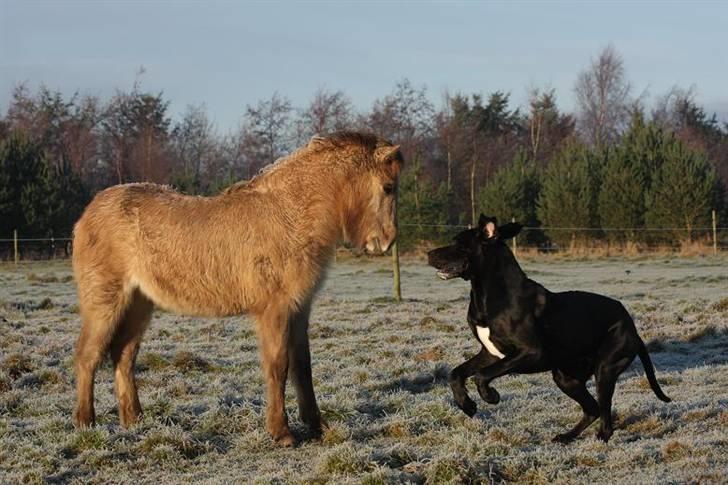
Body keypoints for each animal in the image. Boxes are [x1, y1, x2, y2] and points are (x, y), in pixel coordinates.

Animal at [72, 133, 404, 446]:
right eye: (388, 187)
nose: (387, 241)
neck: (291, 214)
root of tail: (87, 213)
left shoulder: (300, 309)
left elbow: (302, 365)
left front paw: (316, 425)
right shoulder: (275, 310)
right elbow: (278, 366)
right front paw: (282, 433)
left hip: (140, 304)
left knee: (124, 356)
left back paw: (135, 420)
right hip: (105, 302)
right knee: (87, 356)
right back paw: (86, 423)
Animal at [426, 214, 672, 440]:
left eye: (459, 244)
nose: (428, 254)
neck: (490, 295)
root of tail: (633, 329)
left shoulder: (531, 354)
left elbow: (481, 375)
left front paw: (490, 397)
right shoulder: (491, 353)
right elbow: (456, 374)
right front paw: (467, 405)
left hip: (605, 369)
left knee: (604, 413)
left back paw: (600, 437)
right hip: (566, 377)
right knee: (591, 409)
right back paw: (566, 437)